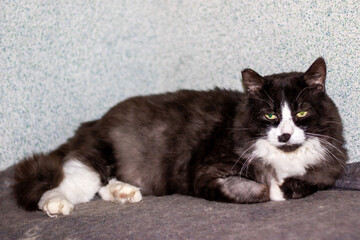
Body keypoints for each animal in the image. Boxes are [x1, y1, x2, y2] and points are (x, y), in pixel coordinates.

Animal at [12, 58, 348, 218]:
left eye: (301, 112)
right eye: (269, 116)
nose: (285, 134)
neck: (285, 158)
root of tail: (92, 123)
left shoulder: (327, 172)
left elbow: (305, 184)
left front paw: (286, 186)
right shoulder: (205, 173)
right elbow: (257, 190)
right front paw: (273, 188)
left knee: (104, 185)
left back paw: (125, 193)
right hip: (95, 160)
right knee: (64, 183)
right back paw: (56, 205)